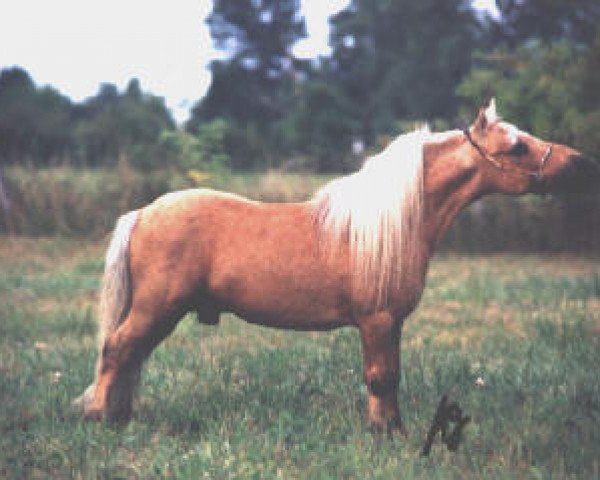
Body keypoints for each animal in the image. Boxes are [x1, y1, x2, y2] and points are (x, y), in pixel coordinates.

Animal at [72, 99, 596, 434]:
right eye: (518, 147)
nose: (582, 164)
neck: (392, 224)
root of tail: (144, 212)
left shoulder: (392, 323)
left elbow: (392, 375)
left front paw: (394, 430)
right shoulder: (376, 320)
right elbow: (379, 377)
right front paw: (383, 436)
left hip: (163, 312)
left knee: (131, 356)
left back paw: (118, 417)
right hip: (157, 307)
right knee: (117, 350)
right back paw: (99, 419)